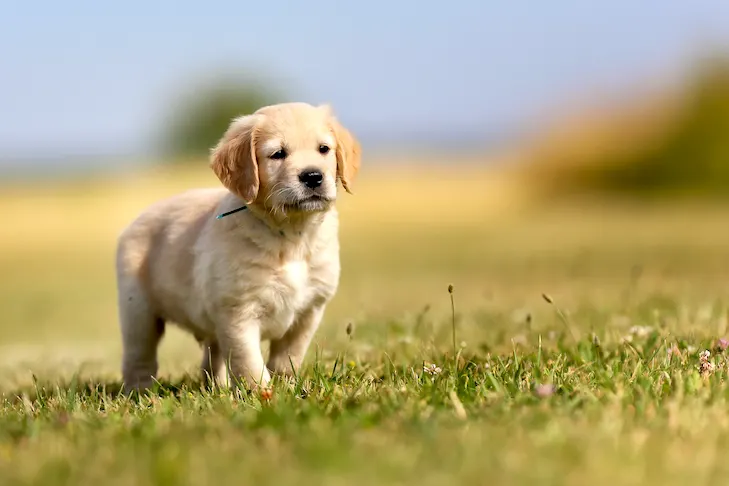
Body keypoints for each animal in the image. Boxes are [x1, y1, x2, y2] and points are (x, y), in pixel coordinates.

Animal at [114, 102, 362, 392]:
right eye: (278, 154)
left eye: (324, 149)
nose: (312, 176)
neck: (290, 234)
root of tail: (135, 220)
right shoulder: (237, 312)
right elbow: (249, 361)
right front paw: (261, 393)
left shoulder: (310, 310)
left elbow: (288, 357)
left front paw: (287, 388)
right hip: (138, 312)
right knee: (139, 358)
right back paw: (141, 393)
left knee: (212, 357)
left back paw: (216, 388)